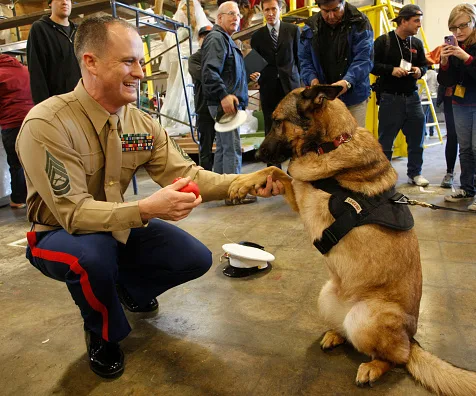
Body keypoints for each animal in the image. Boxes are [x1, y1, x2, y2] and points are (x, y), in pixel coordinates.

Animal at [229, 85, 474, 394]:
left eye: (276, 121)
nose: (258, 152)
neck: (332, 143)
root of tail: (412, 339)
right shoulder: (300, 193)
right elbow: (276, 172)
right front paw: (242, 183)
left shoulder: (310, 199)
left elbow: (283, 172)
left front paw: (240, 182)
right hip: (326, 297)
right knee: (352, 335)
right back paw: (336, 335)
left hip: (365, 318)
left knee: (397, 358)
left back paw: (373, 368)